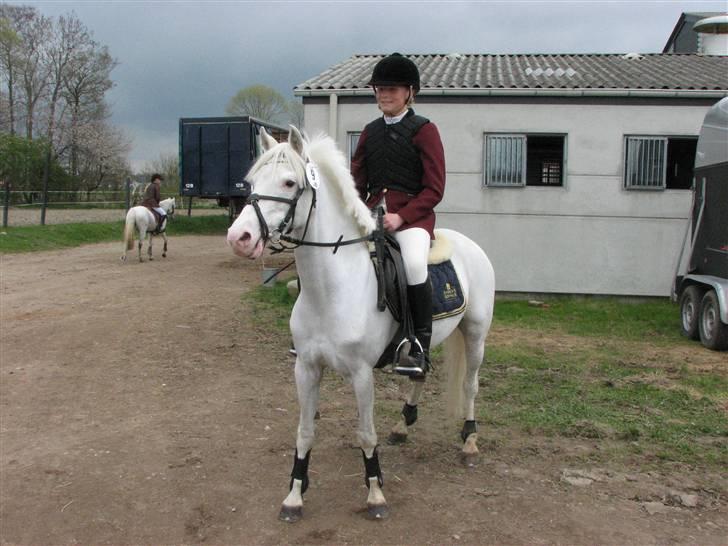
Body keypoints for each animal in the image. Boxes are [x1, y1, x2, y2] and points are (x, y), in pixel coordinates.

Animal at [226, 126, 495, 522]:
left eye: (289, 182)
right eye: (251, 182)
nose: (239, 238)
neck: (331, 289)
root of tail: (469, 245)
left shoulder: (361, 373)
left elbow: (366, 434)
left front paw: (375, 495)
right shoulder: (306, 368)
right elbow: (304, 432)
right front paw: (294, 496)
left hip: (475, 334)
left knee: (470, 385)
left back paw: (470, 442)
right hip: (427, 343)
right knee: (420, 372)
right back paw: (402, 425)